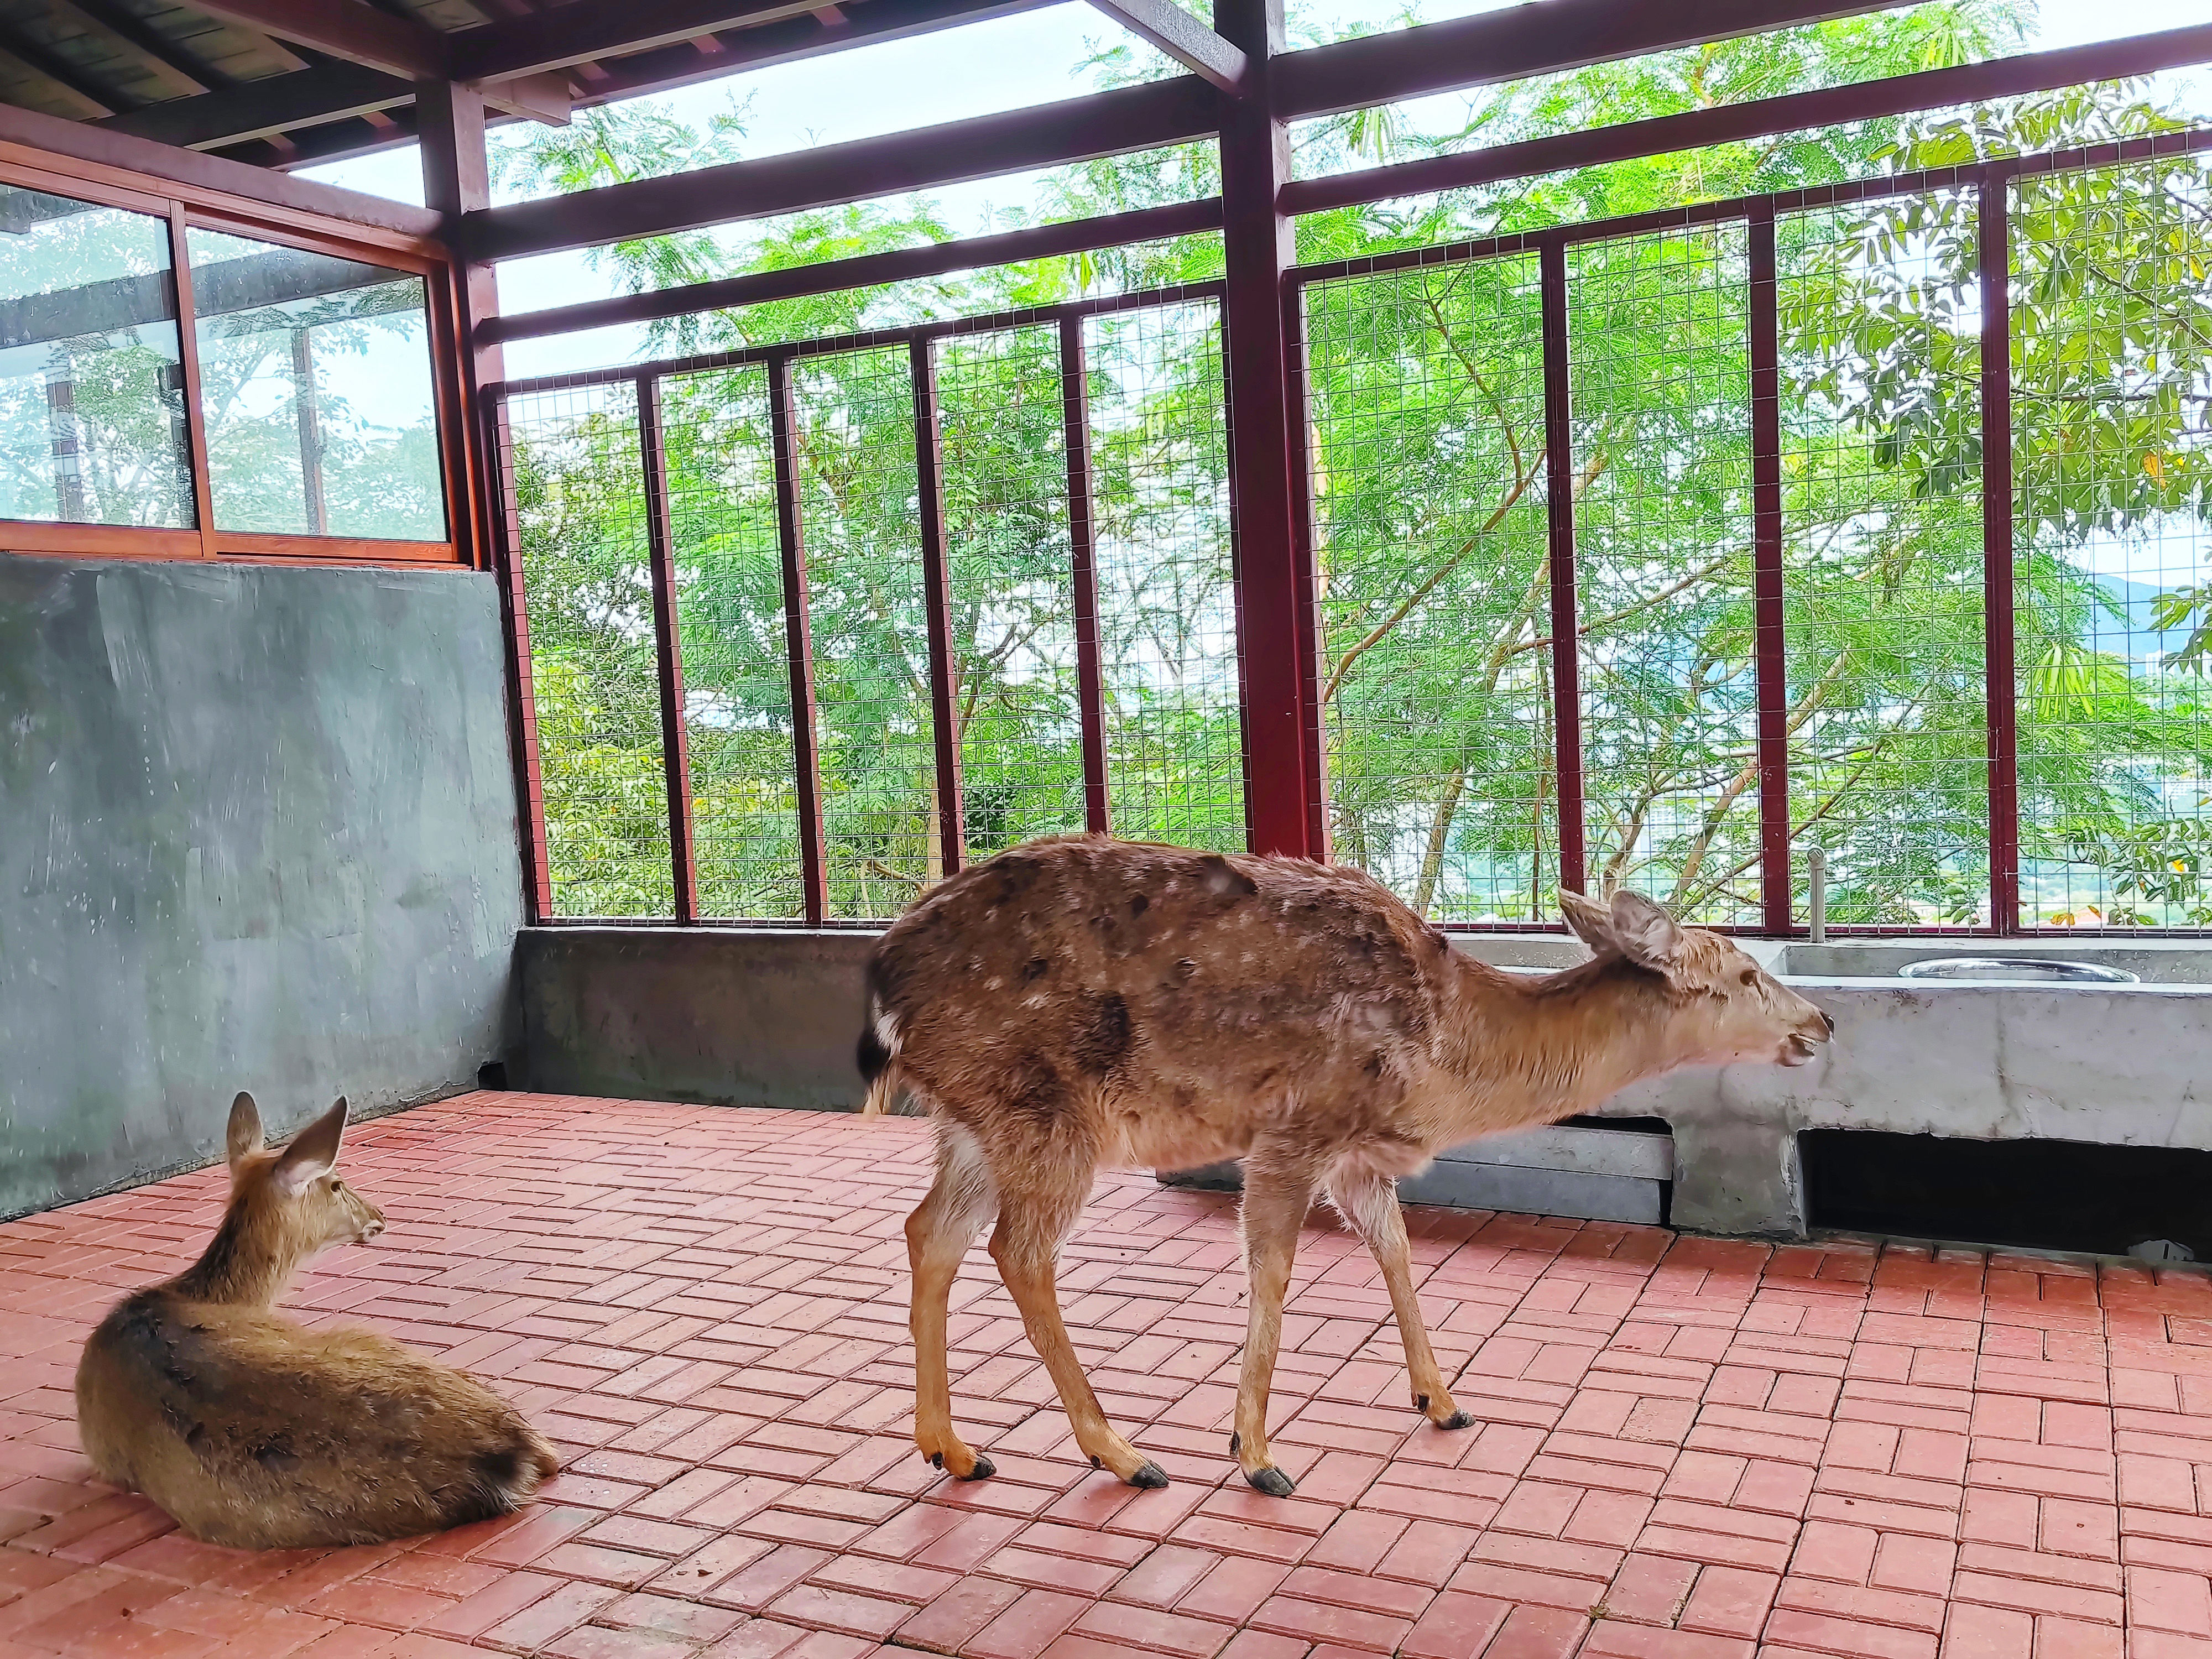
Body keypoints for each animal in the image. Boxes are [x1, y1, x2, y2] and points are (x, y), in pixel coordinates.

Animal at [863, 836, 1832, 1504]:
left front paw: (1443, 1400)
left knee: (928, 1230)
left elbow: (1396, 1249)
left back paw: (954, 1448)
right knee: (1018, 1250)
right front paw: (1256, 1457)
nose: (1821, 1022)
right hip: (1043, 1109)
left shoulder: (1359, 1156)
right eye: (1746, 973)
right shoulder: (1300, 1125)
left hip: (973, 1118)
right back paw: (1125, 1455)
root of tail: (884, 983)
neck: (1448, 1054)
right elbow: (1273, 1269)